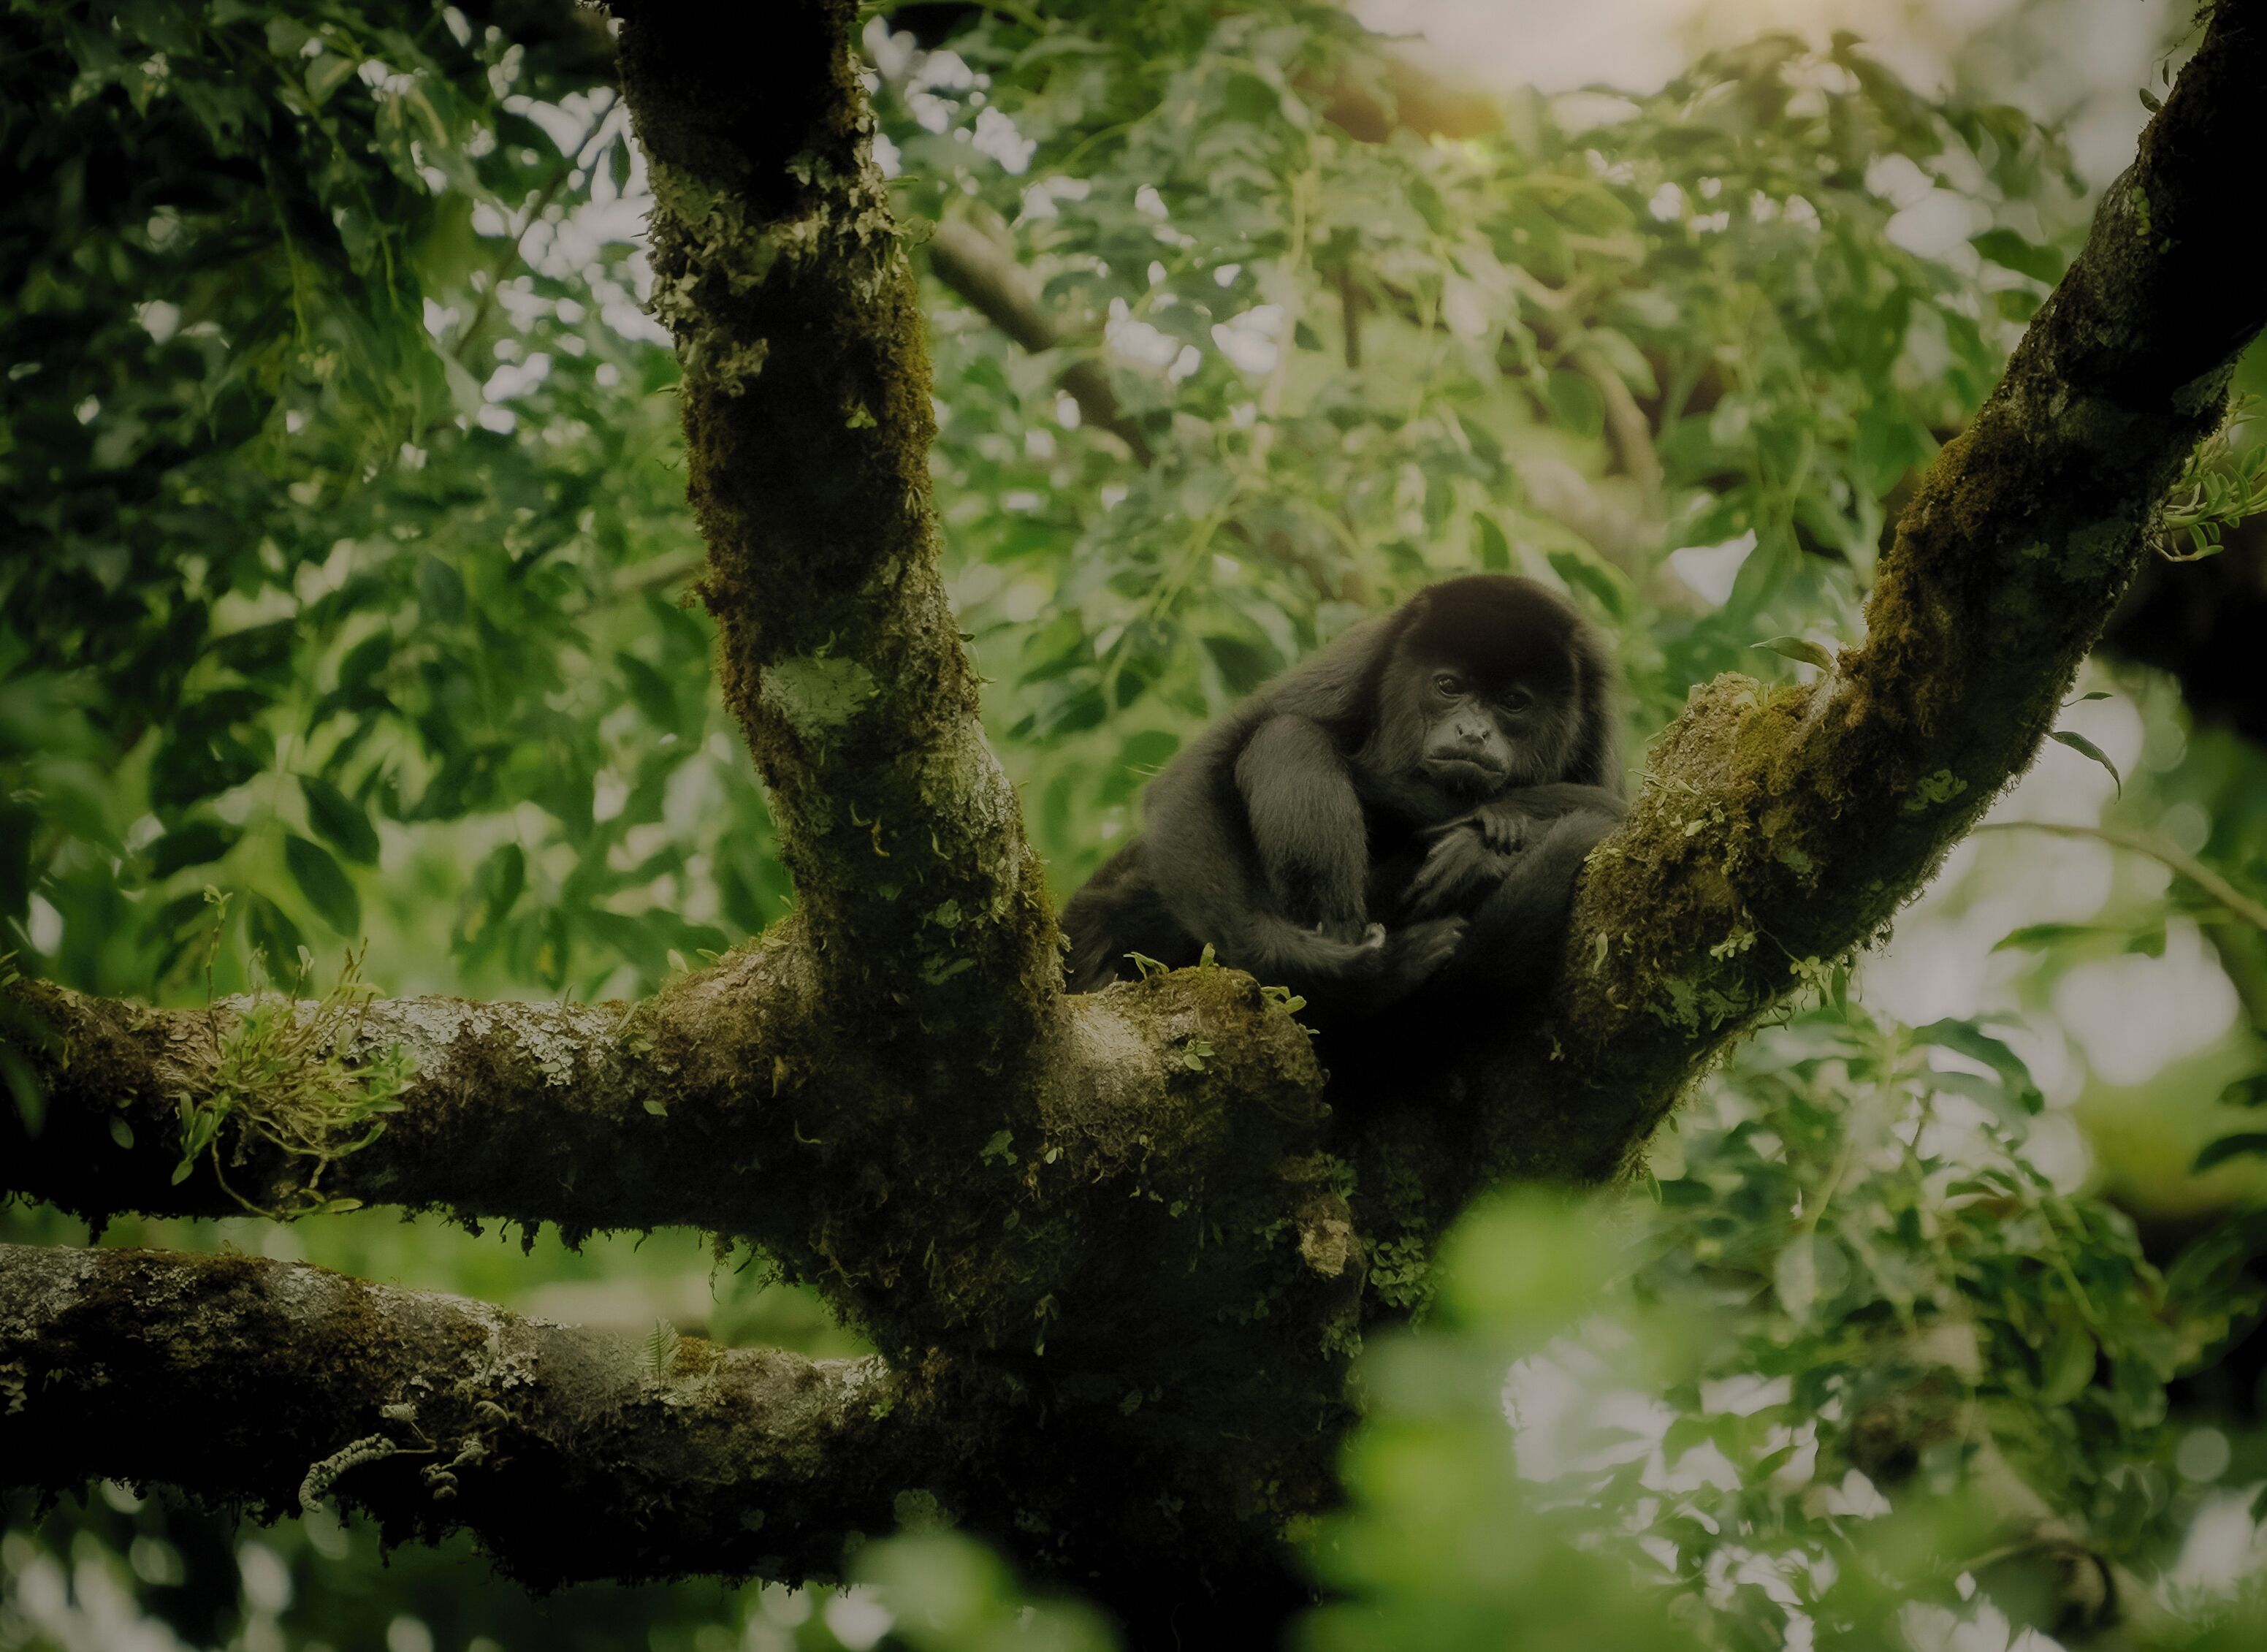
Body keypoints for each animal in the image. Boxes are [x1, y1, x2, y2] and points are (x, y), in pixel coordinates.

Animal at [1060, 574, 1623, 1026]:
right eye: (1448, 685)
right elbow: (1193, 777)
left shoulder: (1596, 720)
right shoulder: (1364, 655)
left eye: (1513, 702)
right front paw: (1331, 971)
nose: (1472, 732)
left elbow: (1617, 817)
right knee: (1286, 738)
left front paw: (1488, 840)